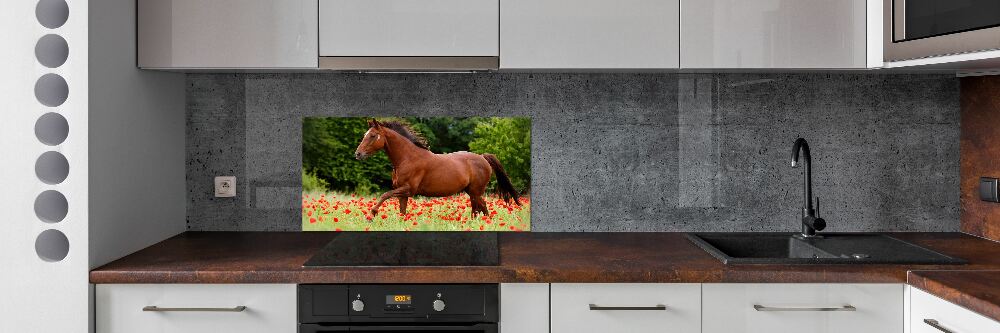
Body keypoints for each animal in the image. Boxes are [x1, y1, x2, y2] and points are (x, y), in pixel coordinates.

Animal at [354, 118, 524, 217]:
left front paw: (372, 213)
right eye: (364, 135)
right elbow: (402, 212)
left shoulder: (408, 189)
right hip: (471, 191)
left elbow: (384, 195)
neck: (407, 158)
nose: (358, 154)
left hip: (476, 191)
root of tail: (483, 158)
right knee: (480, 208)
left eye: (373, 135)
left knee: (480, 208)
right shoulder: (402, 193)